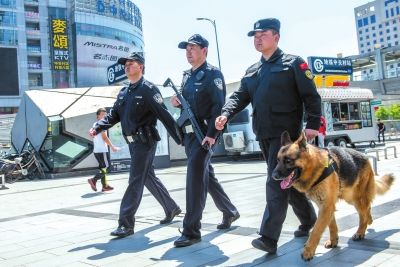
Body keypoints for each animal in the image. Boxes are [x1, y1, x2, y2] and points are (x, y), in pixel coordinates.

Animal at [272, 132, 394, 262]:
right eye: (278, 160)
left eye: (288, 160)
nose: (273, 175)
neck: (315, 167)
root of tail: (364, 156)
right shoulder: (326, 205)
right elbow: (331, 225)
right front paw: (333, 241)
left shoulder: (326, 206)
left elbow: (316, 230)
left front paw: (308, 251)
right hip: (350, 197)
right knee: (367, 208)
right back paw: (369, 220)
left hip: (356, 198)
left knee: (363, 214)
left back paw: (360, 232)